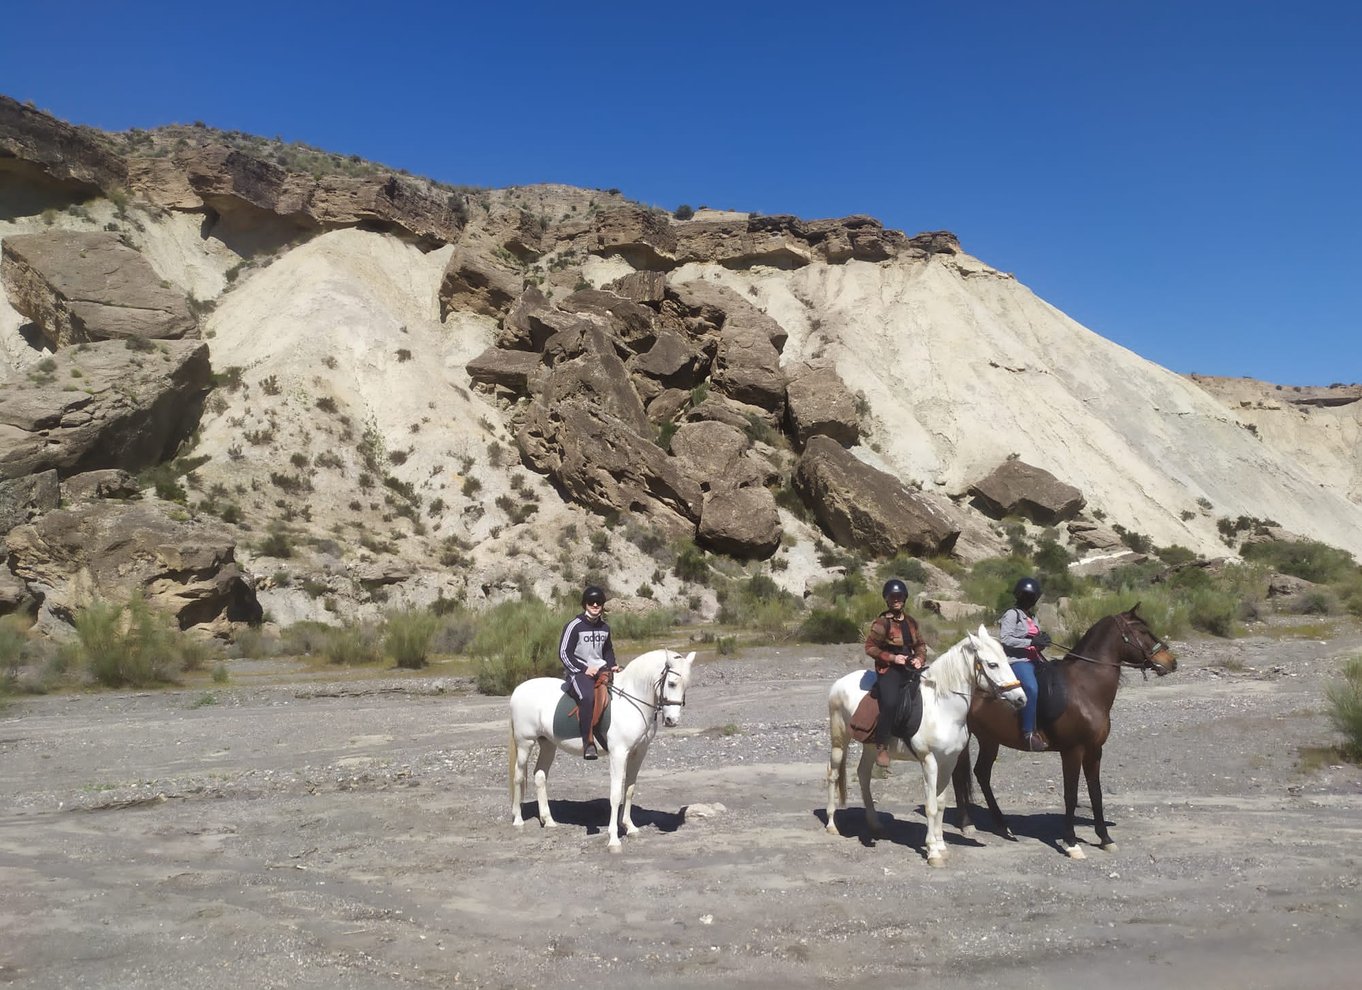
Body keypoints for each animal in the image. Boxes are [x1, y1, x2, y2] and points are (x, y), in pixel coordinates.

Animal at [509, 650, 691, 849]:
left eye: (686, 685)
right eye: (672, 683)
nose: (672, 721)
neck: (631, 701)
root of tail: (518, 690)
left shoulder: (638, 752)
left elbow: (629, 789)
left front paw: (630, 827)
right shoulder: (618, 753)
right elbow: (616, 794)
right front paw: (614, 839)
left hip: (548, 744)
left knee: (540, 776)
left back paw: (548, 820)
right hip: (525, 743)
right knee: (519, 777)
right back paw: (518, 820)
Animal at [822, 626, 1024, 866]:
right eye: (992, 664)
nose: (1021, 698)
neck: (942, 707)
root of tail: (839, 683)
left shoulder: (949, 762)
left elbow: (941, 803)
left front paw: (942, 846)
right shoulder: (929, 761)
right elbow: (931, 806)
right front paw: (933, 852)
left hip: (871, 746)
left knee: (863, 774)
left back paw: (875, 825)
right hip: (839, 740)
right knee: (833, 774)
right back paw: (832, 824)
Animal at [953, 604, 1176, 860]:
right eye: (1143, 631)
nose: (1172, 662)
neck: (1085, 688)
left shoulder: (1094, 750)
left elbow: (1095, 793)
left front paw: (1105, 838)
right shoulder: (1072, 751)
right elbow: (1071, 795)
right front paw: (1071, 842)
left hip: (990, 739)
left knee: (982, 773)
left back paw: (1002, 825)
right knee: (958, 775)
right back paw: (967, 824)